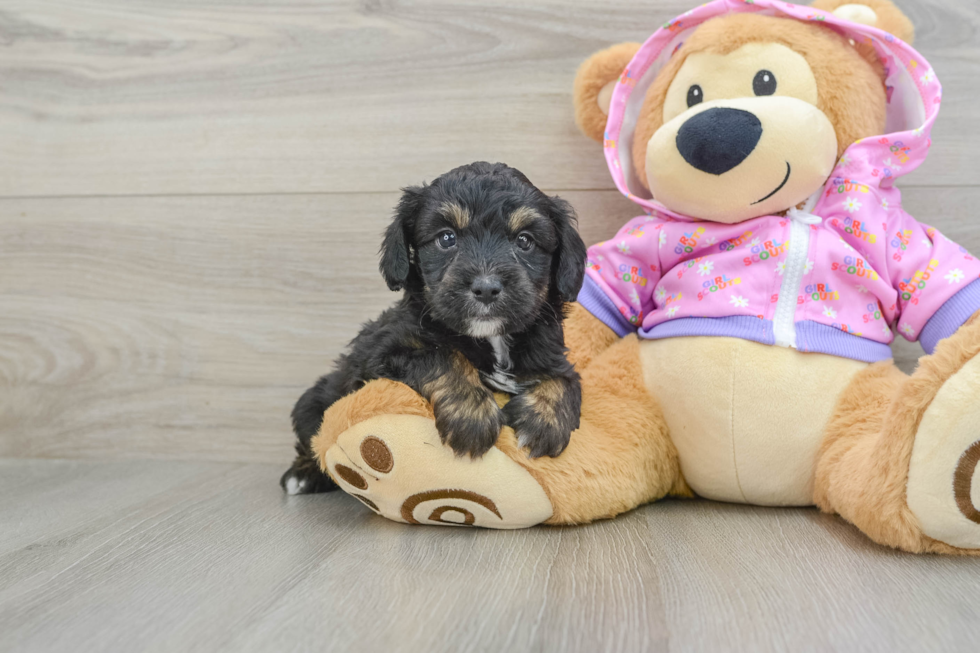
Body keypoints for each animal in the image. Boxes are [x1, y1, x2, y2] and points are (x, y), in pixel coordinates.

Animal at [280, 162, 584, 494]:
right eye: (446, 238)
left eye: (525, 241)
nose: (486, 288)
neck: (491, 338)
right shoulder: (384, 353)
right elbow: (443, 356)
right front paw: (471, 417)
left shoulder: (553, 356)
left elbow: (565, 381)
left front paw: (544, 422)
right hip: (312, 403)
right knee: (312, 440)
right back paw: (302, 474)